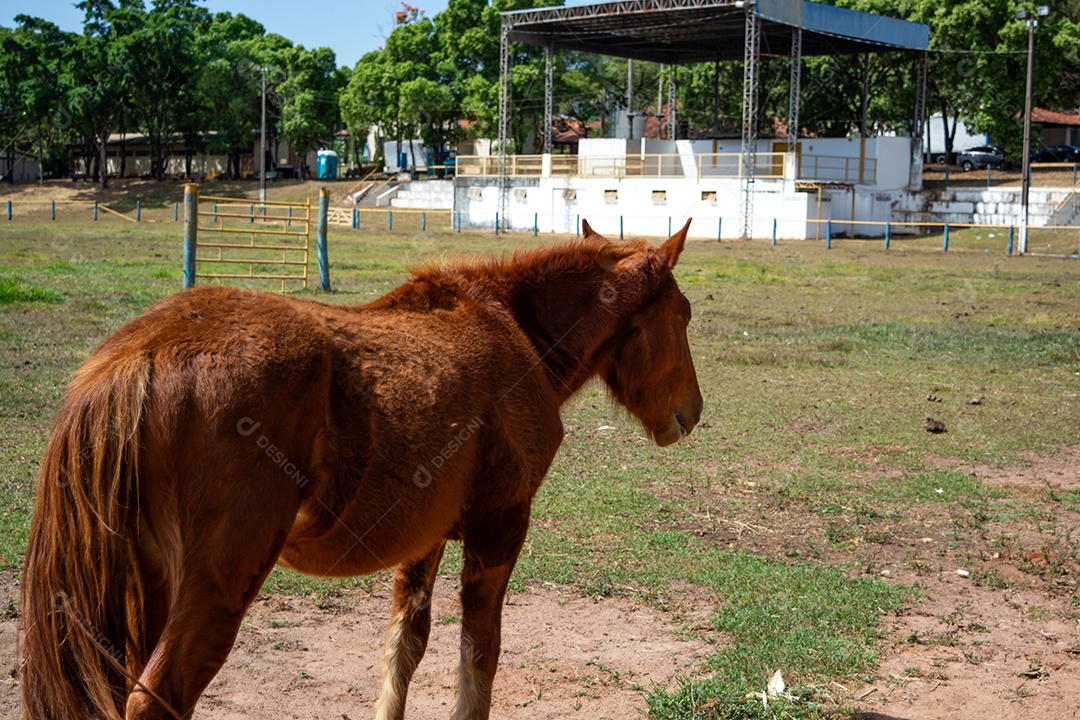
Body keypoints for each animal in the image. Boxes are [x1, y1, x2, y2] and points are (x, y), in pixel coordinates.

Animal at [19, 219, 703, 720]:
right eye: (686, 313)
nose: (691, 412)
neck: (514, 330)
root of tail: (143, 350)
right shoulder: (500, 525)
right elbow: (479, 657)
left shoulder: (426, 539)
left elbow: (405, 648)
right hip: (216, 585)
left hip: (144, 584)